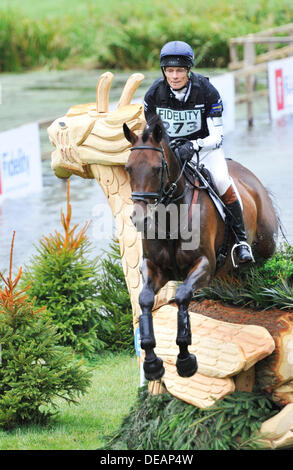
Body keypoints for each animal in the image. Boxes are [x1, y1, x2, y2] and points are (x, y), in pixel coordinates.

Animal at [122, 114, 278, 382]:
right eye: (128, 168)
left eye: (156, 168)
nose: (140, 218)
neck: (170, 218)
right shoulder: (154, 267)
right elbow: (145, 300)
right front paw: (152, 363)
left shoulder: (204, 265)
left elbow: (182, 297)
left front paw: (185, 360)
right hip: (228, 273)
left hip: (265, 247)